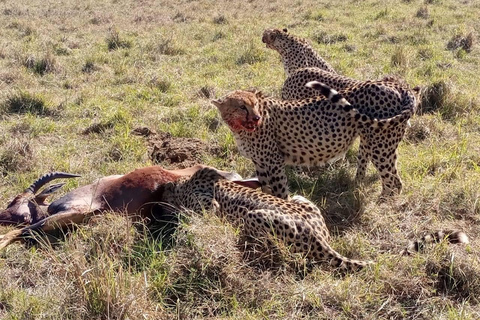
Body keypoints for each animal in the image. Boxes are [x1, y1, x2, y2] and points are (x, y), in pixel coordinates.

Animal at [164, 165, 372, 272]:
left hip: (253, 215)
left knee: (288, 254)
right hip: (299, 198)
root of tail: (319, 237)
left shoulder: (209, 204)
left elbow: (203, 211)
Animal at [214, 81, 412, 199]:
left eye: (254, 104)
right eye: (241, 107)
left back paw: (384, 203)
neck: (240, 129)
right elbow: (265, 188)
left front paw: (284, 207)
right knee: (392, 176)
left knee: (392, 179)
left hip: (381, 147)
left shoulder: (274, 161)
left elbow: (280, 189)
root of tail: (392, 83)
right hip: (381, 144)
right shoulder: (260, 163)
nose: (256, 118)